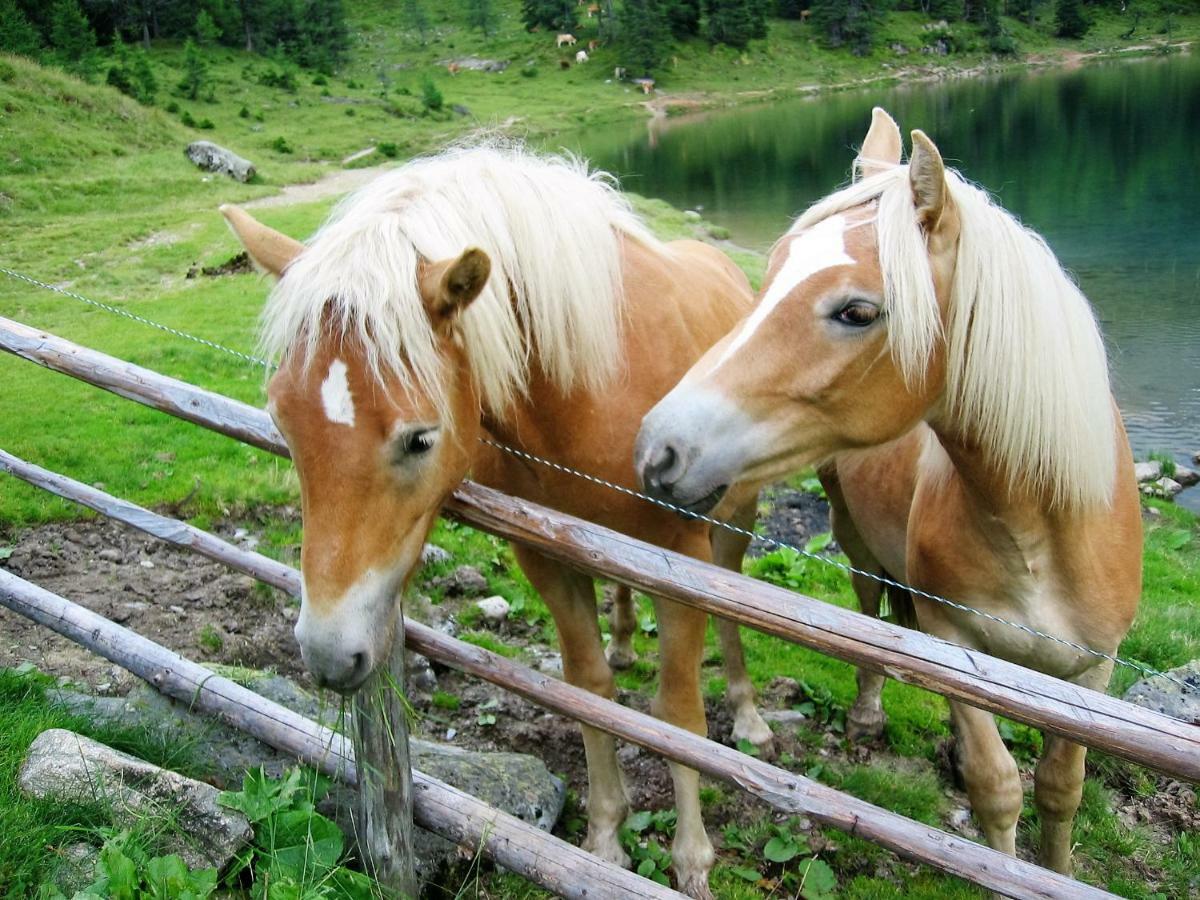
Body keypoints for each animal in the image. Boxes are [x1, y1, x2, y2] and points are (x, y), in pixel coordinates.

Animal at [220, 144, 772, 897]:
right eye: (282, 420)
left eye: (420, 439)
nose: (329, 655)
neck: (592, 388)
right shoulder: (550, 558)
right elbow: (589, 689)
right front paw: (605, 838)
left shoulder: (681, 559)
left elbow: (679, 714)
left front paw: (691, 862)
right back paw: (628, 642)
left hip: (731, 527)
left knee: (731, 611)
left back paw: (748, 715)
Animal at [633, 111, 1137, 873]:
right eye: (770, 274)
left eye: (856, 311)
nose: (659, 448)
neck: (1041, 530)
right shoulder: (955, 644)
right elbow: (997, 786)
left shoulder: (1093, 674)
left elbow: (1060, 789)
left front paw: (1057, 870)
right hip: (852, 531)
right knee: (872, 605)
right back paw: (868, 710)